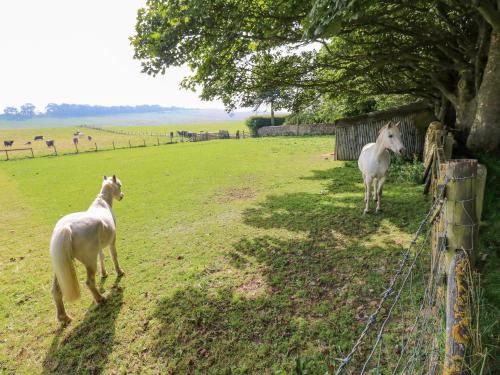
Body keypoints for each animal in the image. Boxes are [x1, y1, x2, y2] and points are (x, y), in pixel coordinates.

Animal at [49, 175, 126, 324]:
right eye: (119, 185)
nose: (122, 196)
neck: (103, 203)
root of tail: (67, 227)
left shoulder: (99, 247)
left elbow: (102, 256)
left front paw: (104, 273)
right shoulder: (112, 241)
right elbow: (114, 256)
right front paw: (119, 272)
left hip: (60, 269)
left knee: (56, 291)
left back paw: (64, 317)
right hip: (90, 262)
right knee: (89, 282)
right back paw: (100, 299)